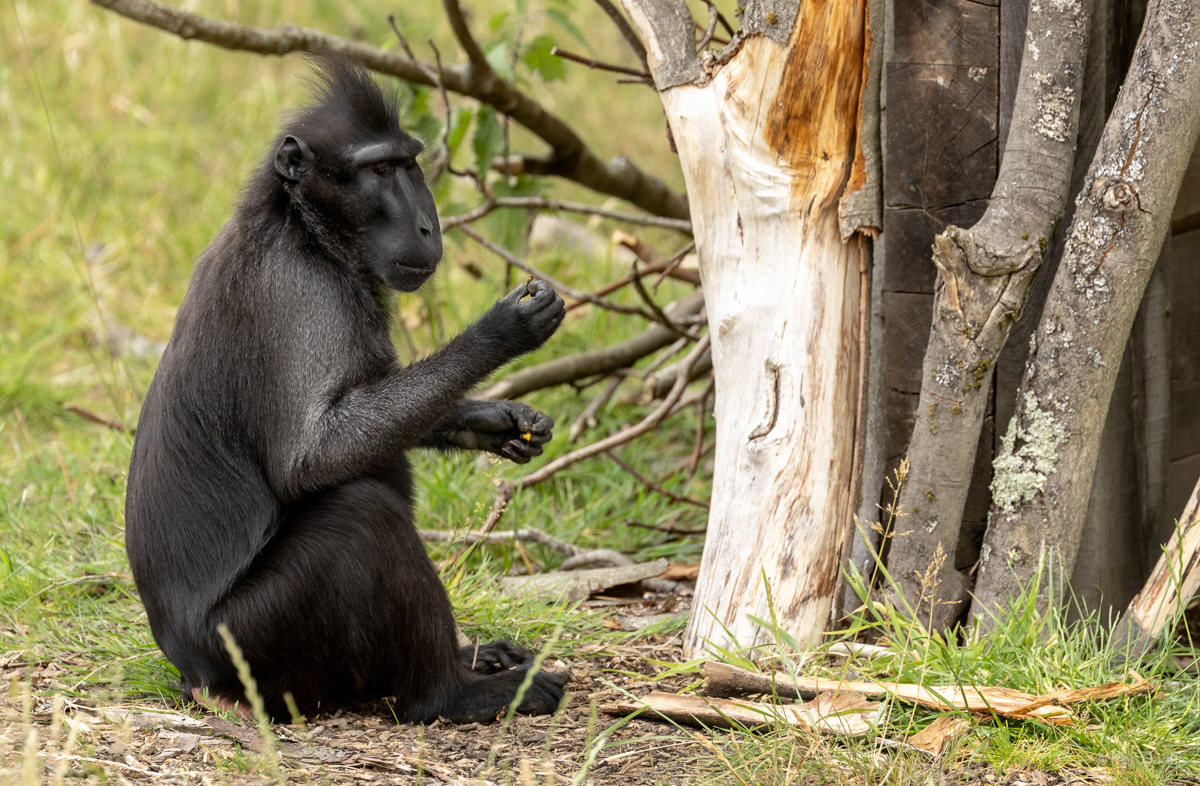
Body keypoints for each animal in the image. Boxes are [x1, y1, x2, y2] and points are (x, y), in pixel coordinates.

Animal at [123, 58, 566, 723]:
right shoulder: (299, 292)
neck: (302, 225)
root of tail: (193, 672)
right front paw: (501, 332)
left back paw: (471, 657)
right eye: (379, 171)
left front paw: (495, 420)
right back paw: (453, 691)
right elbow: (310, 459)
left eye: (409, 164)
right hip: (257, 646)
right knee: (361, 514)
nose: (428, 226)